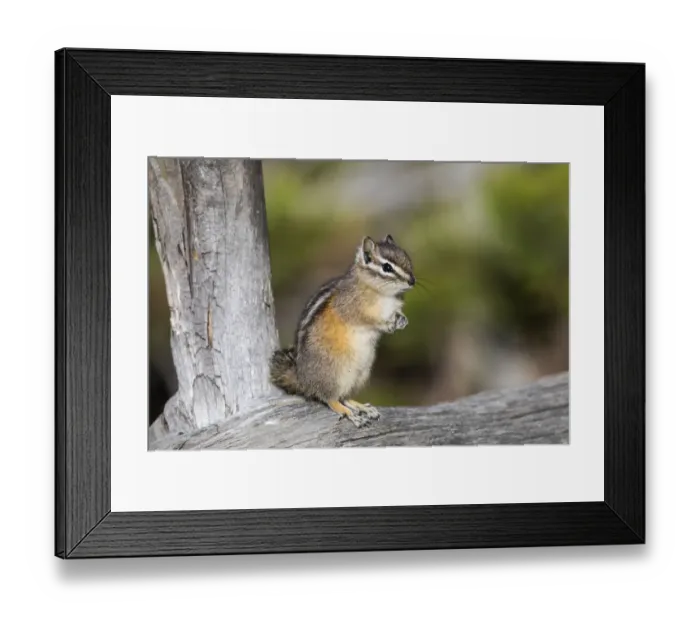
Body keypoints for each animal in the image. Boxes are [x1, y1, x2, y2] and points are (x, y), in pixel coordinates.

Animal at [270, 234, 415, 428]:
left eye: (407, 257)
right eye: (387, 267)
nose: (412, 281)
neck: (384, 294)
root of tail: (303, 380)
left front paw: (402, 320)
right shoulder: (353, 308)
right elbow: (368, 319)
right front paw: (386, 324)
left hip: (360, 373)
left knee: (344, 397)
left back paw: (362, 407)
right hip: (335, 374)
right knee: (331, 399)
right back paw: (349, 414)